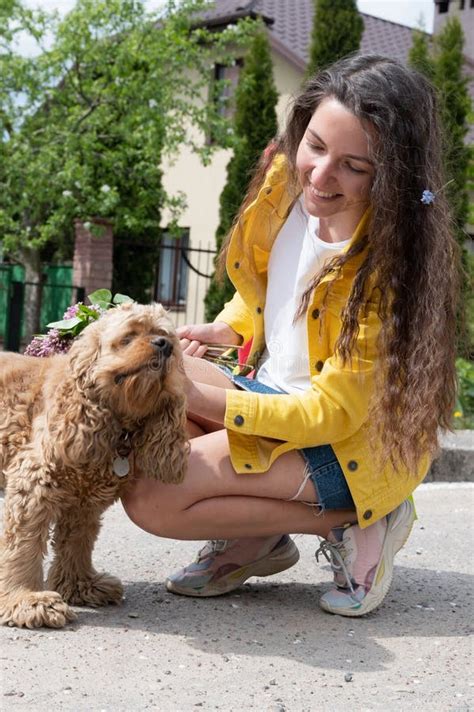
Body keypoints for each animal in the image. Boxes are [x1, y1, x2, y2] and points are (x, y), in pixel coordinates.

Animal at [0, 302, 188, 628]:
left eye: (166, 336)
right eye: (128, 337)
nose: (164, 345)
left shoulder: (85, 500)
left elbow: (78, 540)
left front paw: (80, 586)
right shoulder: (33, 482)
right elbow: (23, 545)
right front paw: (27, 600)